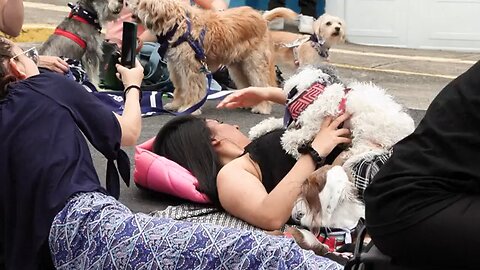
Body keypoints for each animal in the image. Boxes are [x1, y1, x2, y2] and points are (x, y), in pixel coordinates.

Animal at [125, 0, 276, 114]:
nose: (124, 3)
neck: (177, 23)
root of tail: (262, 17)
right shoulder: (176, 67)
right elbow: (180, 88)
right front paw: (176, 104)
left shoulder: (191, 68)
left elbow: (192, 89)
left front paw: (189, 108)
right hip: (238, 67)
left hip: (254, 64)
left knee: (262, 85)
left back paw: (262, 107)